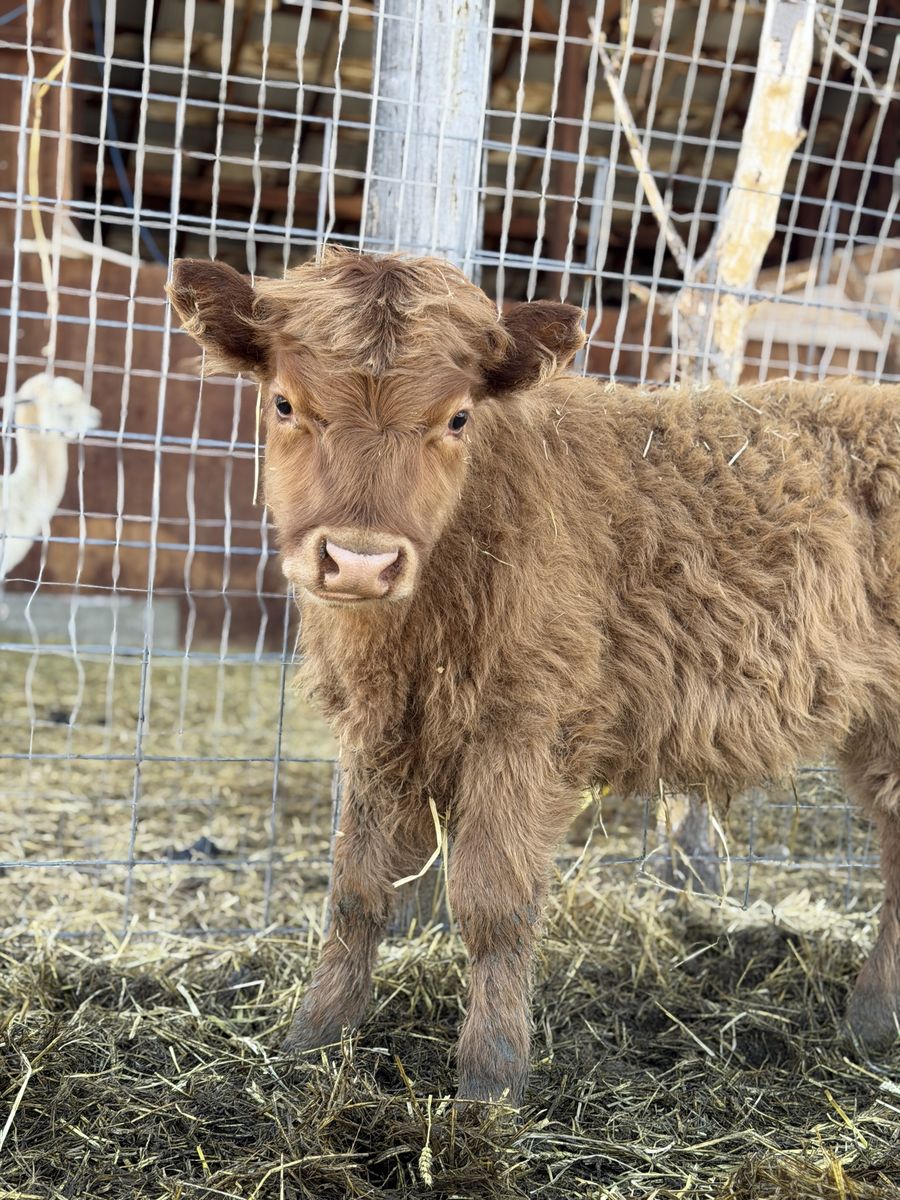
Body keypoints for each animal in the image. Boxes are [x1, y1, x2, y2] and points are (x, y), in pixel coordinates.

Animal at [168, 248, 900, 1104]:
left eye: (457, 417)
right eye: (284, 402)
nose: (360, 560)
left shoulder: (523, 725)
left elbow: (494, 905)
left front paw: (490, 1079)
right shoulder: (380, 734)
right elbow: (354, 892)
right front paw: (313, 1038)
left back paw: (873, 1016)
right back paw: (874, 1020)